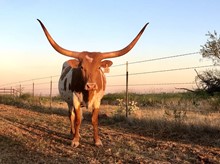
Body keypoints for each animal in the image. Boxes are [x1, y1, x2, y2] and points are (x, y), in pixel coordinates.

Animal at [37, 19, 148, 147]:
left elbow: (94, 120)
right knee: (71, 116)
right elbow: (77, 120)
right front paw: (75, 140)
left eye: (99, 67)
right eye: (81, 67)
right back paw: (73, 133)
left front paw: (97, 140)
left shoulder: (98, 101)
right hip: (69, 102)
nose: (91, 85)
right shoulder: (75, 99)